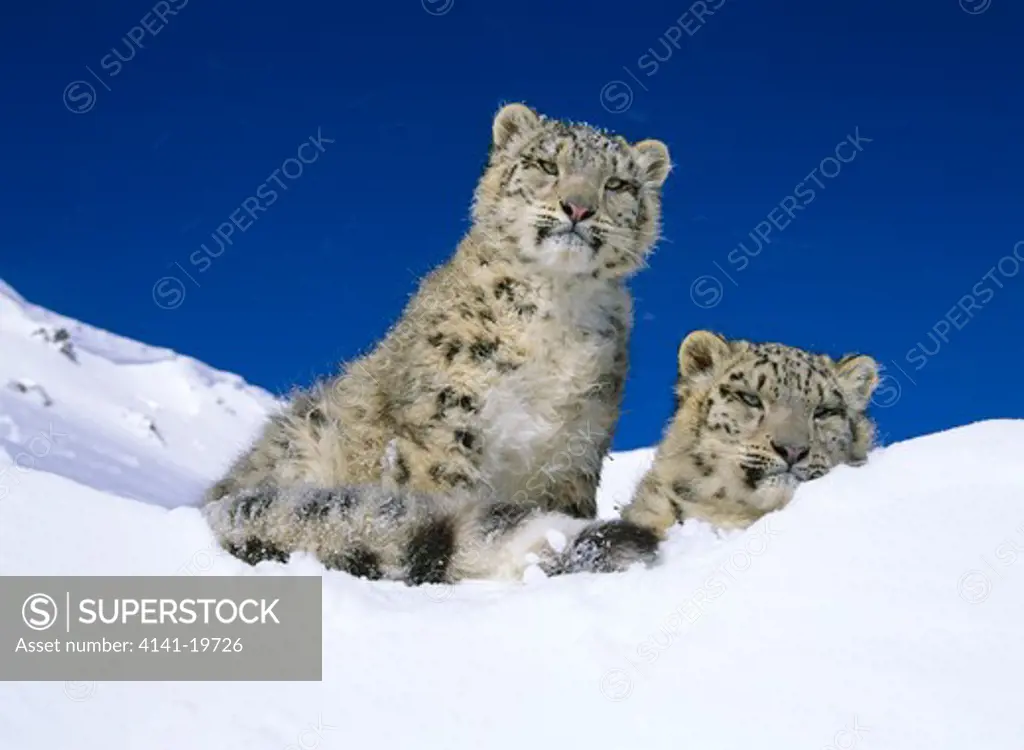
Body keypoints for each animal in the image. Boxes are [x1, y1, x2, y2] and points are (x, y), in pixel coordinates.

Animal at [204, 102, 675, 581]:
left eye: (617, 184)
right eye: (546, 164)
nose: (578, 208)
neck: (557, 305)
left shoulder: (576, 449)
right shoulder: (446, 418)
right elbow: (439, 495)